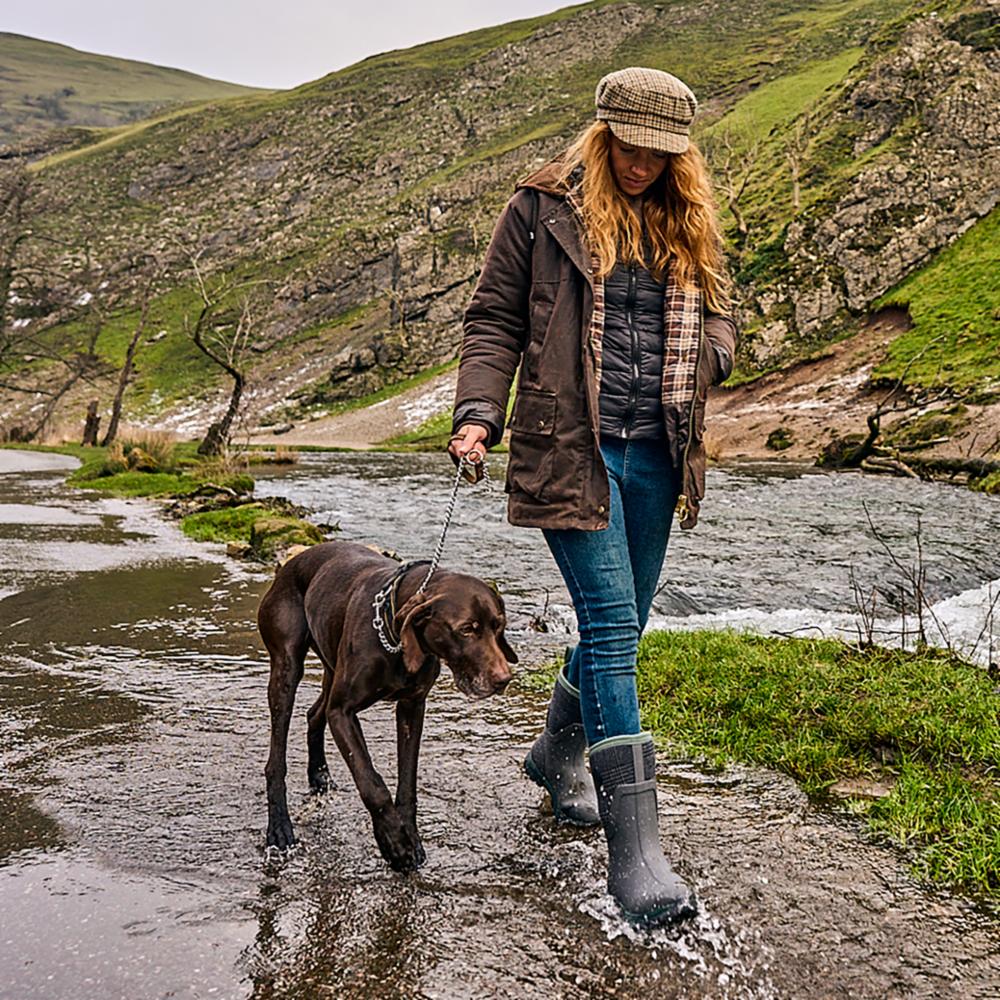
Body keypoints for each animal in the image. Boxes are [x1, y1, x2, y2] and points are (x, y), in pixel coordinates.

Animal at [260, 540, 516, 868]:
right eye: (466, 629)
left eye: (499, 626)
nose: (503, 680)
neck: (393, 633)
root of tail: (295, 561)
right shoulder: (343, 712)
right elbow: (371, 782)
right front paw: (394, 841)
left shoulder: (412, 708)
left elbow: (407, 783)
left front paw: (410, 836)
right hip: (287, 669)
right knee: (276, 760)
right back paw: (279, 828)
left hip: (330, 666)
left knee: (315, 714)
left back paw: (319, 775)